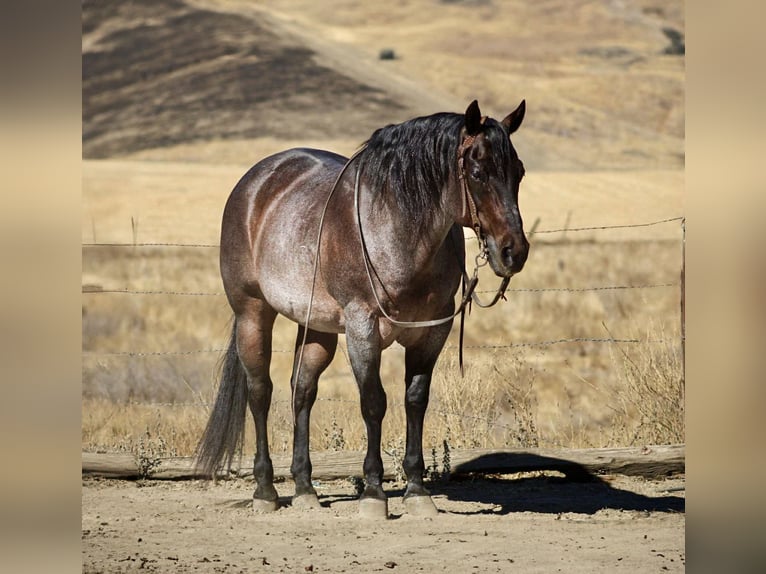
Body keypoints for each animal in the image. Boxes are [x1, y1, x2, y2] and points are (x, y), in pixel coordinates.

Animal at [196, 99, 529, 518]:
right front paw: (374, 492)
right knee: (261, 393)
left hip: (317, 328)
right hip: (253, 314)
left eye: (519, 172)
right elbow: (373, 403)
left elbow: (415, 399)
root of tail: (257, 181)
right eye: (478, 172)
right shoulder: (362, 329)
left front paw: (416, 490)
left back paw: (305, 488)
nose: (514, 252)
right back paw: (266, 490)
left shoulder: (431, 333)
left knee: (302, 391)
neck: (396, 229)